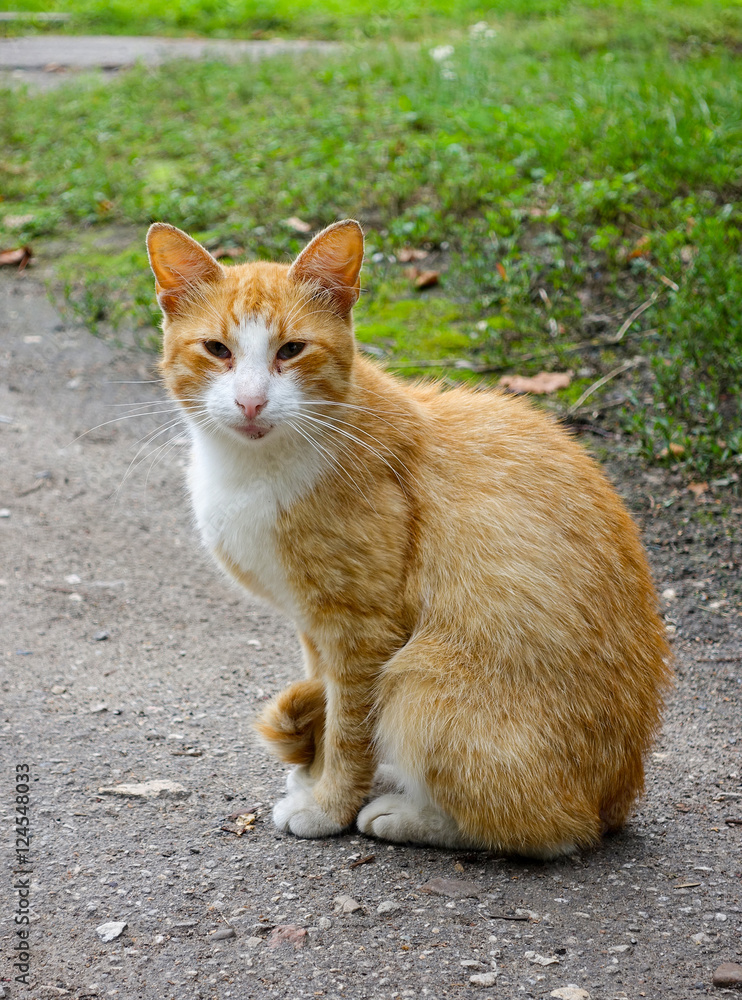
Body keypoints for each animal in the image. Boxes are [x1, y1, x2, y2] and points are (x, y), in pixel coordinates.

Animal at [148, 219, 672, 860]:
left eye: (290, 350)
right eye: (217, 350)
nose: (251, 402)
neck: (255, 468)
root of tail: (618, 796)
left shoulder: (362, 630)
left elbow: (351, 729)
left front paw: (331, 804)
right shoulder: (313, 626)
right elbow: (328, 706)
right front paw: (314, 776)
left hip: (419, 679)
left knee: (553, 829)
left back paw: (408, 815)